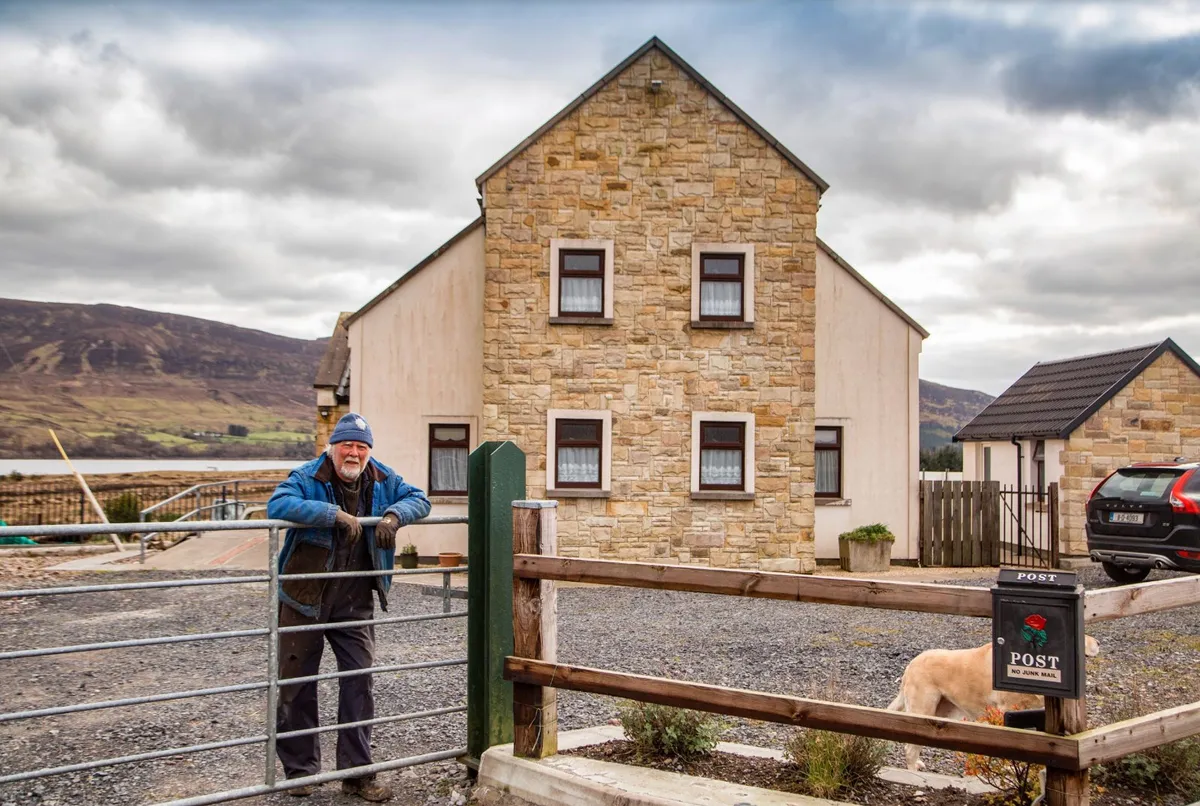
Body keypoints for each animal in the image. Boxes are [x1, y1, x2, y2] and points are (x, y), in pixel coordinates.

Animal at [888, 638, 1099, 767]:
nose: (1098, 643)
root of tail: (911, 664)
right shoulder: (1008, 713)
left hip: (944, 713)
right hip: (923, 710)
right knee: (910, 748)